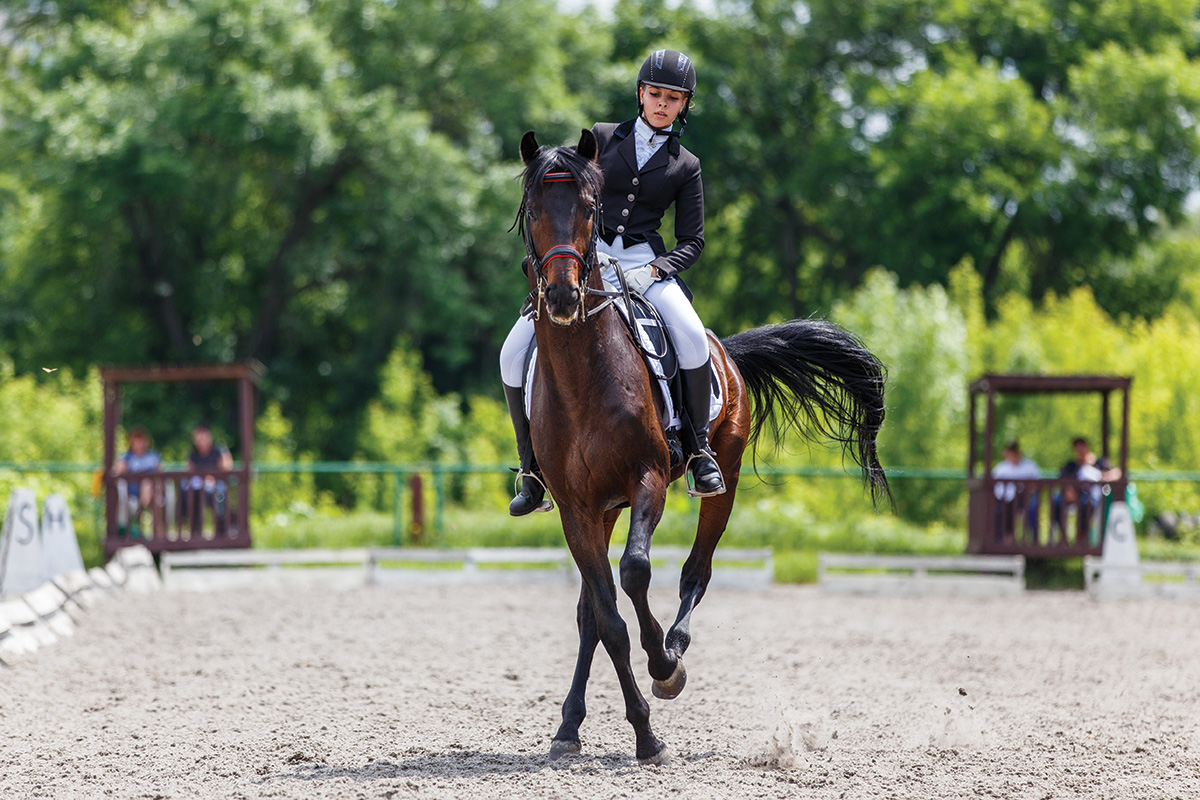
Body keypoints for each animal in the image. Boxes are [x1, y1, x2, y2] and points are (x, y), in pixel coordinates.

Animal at [516, 128, 892, 767]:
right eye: (535, 210)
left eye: (589, 209)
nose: (564, 298)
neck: (581, 371)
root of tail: (725, 351)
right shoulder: (575, 507)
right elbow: (608, 619)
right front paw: (642, 731)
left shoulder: (646, 480)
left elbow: (637, 573)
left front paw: (664, 671)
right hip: (603, 510)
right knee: (592, 612)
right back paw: (568, 725)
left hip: (724, 479)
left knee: (698, 568)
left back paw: (674, 645)